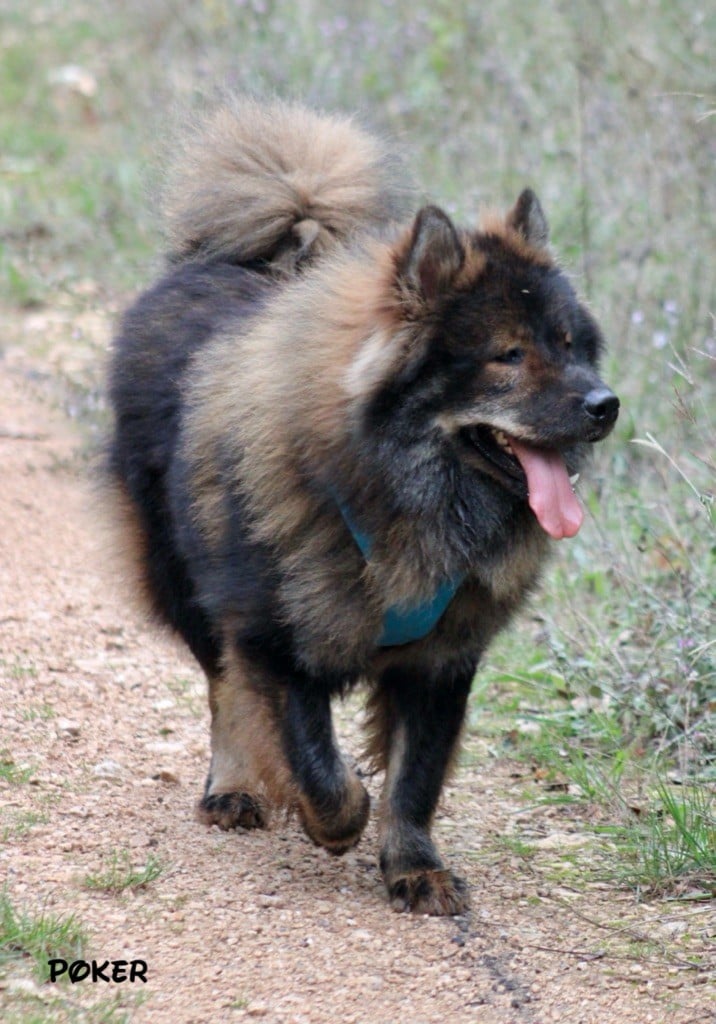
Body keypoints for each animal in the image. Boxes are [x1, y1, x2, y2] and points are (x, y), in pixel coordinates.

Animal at [109, 94, 618, 913]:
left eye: (570, 344)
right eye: (508, 356)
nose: (607, 404)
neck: (398, 501)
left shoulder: (443, 659)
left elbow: (414, 780)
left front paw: (414, 867)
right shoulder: (272, 635)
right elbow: (314, 759)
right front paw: (336, 819)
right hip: (183, 581)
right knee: (224, 692)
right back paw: (234, 787)